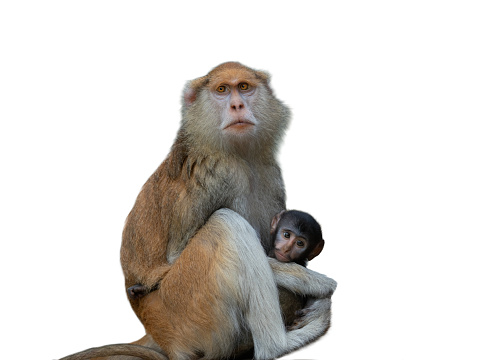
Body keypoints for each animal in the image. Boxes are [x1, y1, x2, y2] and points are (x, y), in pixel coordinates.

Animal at [119, 62, 338, 360]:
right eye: (222, 90)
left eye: (244, 87)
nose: (237, 105)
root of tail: (158, 333)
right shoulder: (214, 174)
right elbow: (173, 259)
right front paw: (316, 282)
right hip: (183, 305)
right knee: (225, 224)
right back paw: (278, 344)